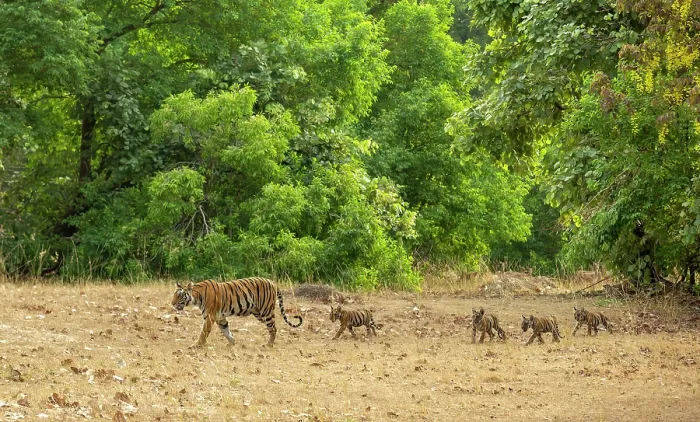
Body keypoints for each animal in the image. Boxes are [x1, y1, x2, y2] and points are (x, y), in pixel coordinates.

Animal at [171, 277, 303, 349]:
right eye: (174, 294)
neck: (196, 297)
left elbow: (203, 333)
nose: (172, 303)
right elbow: (226, 331)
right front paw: (232, 343)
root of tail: (273, 282)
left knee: (273, 328)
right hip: (258, 313)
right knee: (273, 328)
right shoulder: (220, 318)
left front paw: (196, 346)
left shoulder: (209, 317)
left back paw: (268, 345)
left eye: (180, 295)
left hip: (266, 311)